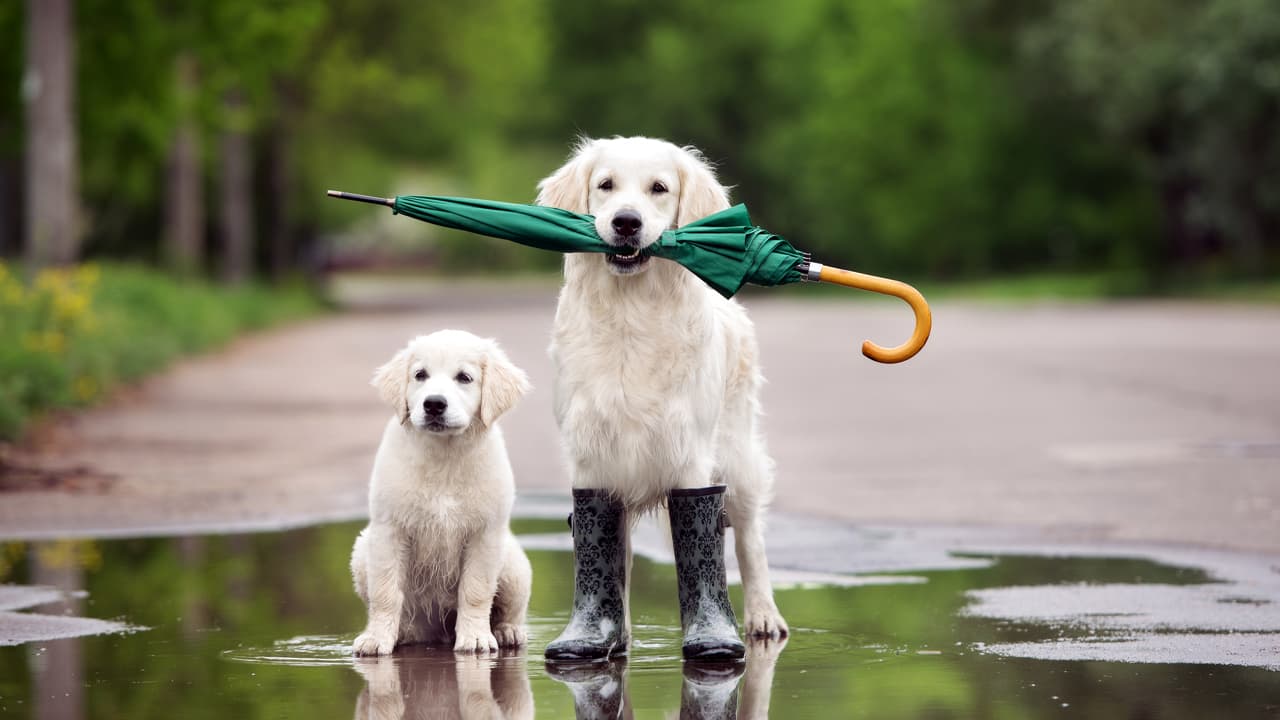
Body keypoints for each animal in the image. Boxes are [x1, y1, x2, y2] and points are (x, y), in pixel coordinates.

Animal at [348, 327, 532, 653]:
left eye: (465, 378)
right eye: (420, 375)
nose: (433, 404)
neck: (444, 456)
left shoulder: (485, 534)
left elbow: (476, 590)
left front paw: (475, 637)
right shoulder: (388, 530)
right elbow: (385, 592)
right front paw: (376, 638)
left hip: (513, 564)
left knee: (510, 609)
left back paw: (507, 631)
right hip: (361, 551)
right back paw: (404, 634)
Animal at [532, 137, 788, 635]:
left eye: (659, 188)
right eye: (605, 185)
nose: (626, 222)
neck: (632, 313)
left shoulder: (689, 453)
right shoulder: (592, 456)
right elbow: (608, 556)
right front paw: (608, 633)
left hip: (738, 455)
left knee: (749, 538)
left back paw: (763, 616)